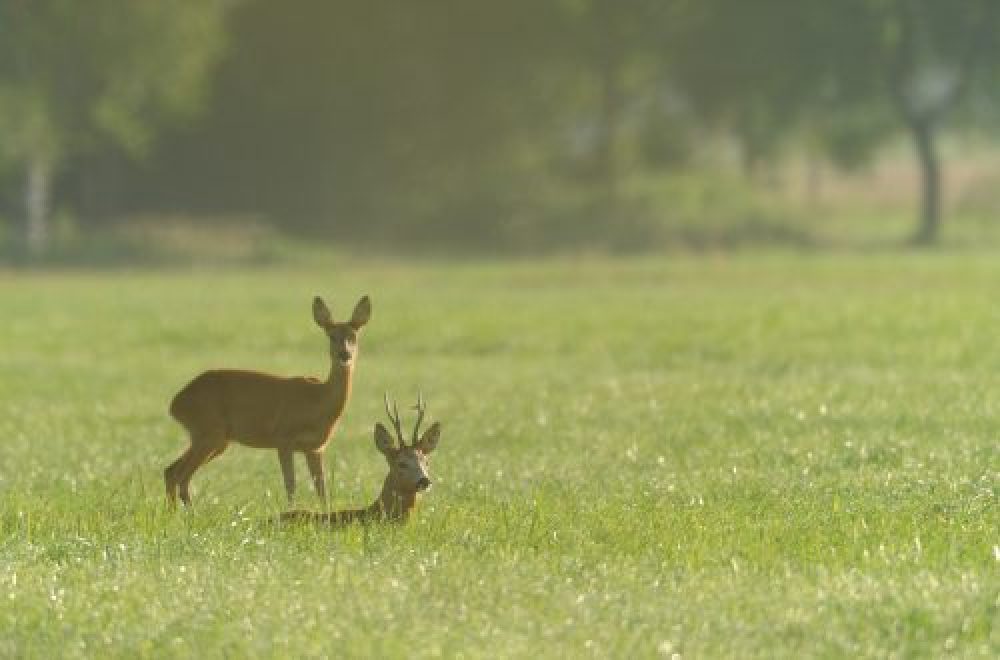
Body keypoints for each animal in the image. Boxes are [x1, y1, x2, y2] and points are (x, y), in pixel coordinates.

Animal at [166, 294, 374, 506]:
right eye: (331, 336)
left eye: (353, 337)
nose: (345, 354)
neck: (318, 399)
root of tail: (175, 404)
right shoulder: (283, 438)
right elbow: (290, 486)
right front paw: (290, 510)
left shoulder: (315, 448)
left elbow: (322, 492)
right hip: (208, 432)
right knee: (179, 474)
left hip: (215, 439)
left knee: (172, 470)